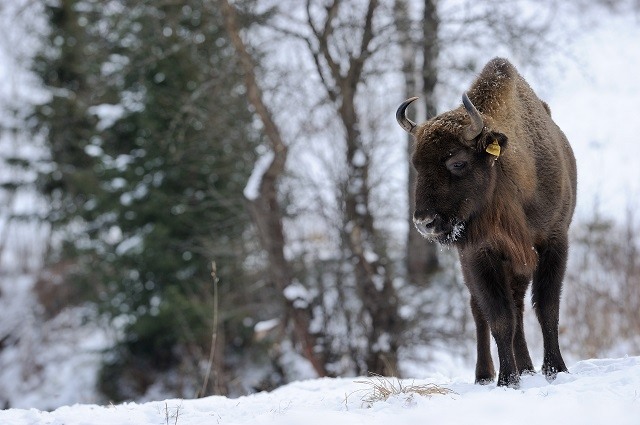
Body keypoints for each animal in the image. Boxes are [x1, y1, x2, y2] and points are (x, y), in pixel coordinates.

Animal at [398, 57, 576, 388]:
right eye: (416, 165)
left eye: (457, 162)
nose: (424, 222)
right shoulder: (480, 254)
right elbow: (499, 317)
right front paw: (507, 379)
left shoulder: (553, 242)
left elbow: (547, 308)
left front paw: (555, 369)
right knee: (481, 310)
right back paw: (485, 374)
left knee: (518, 305)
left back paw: (528, 368)